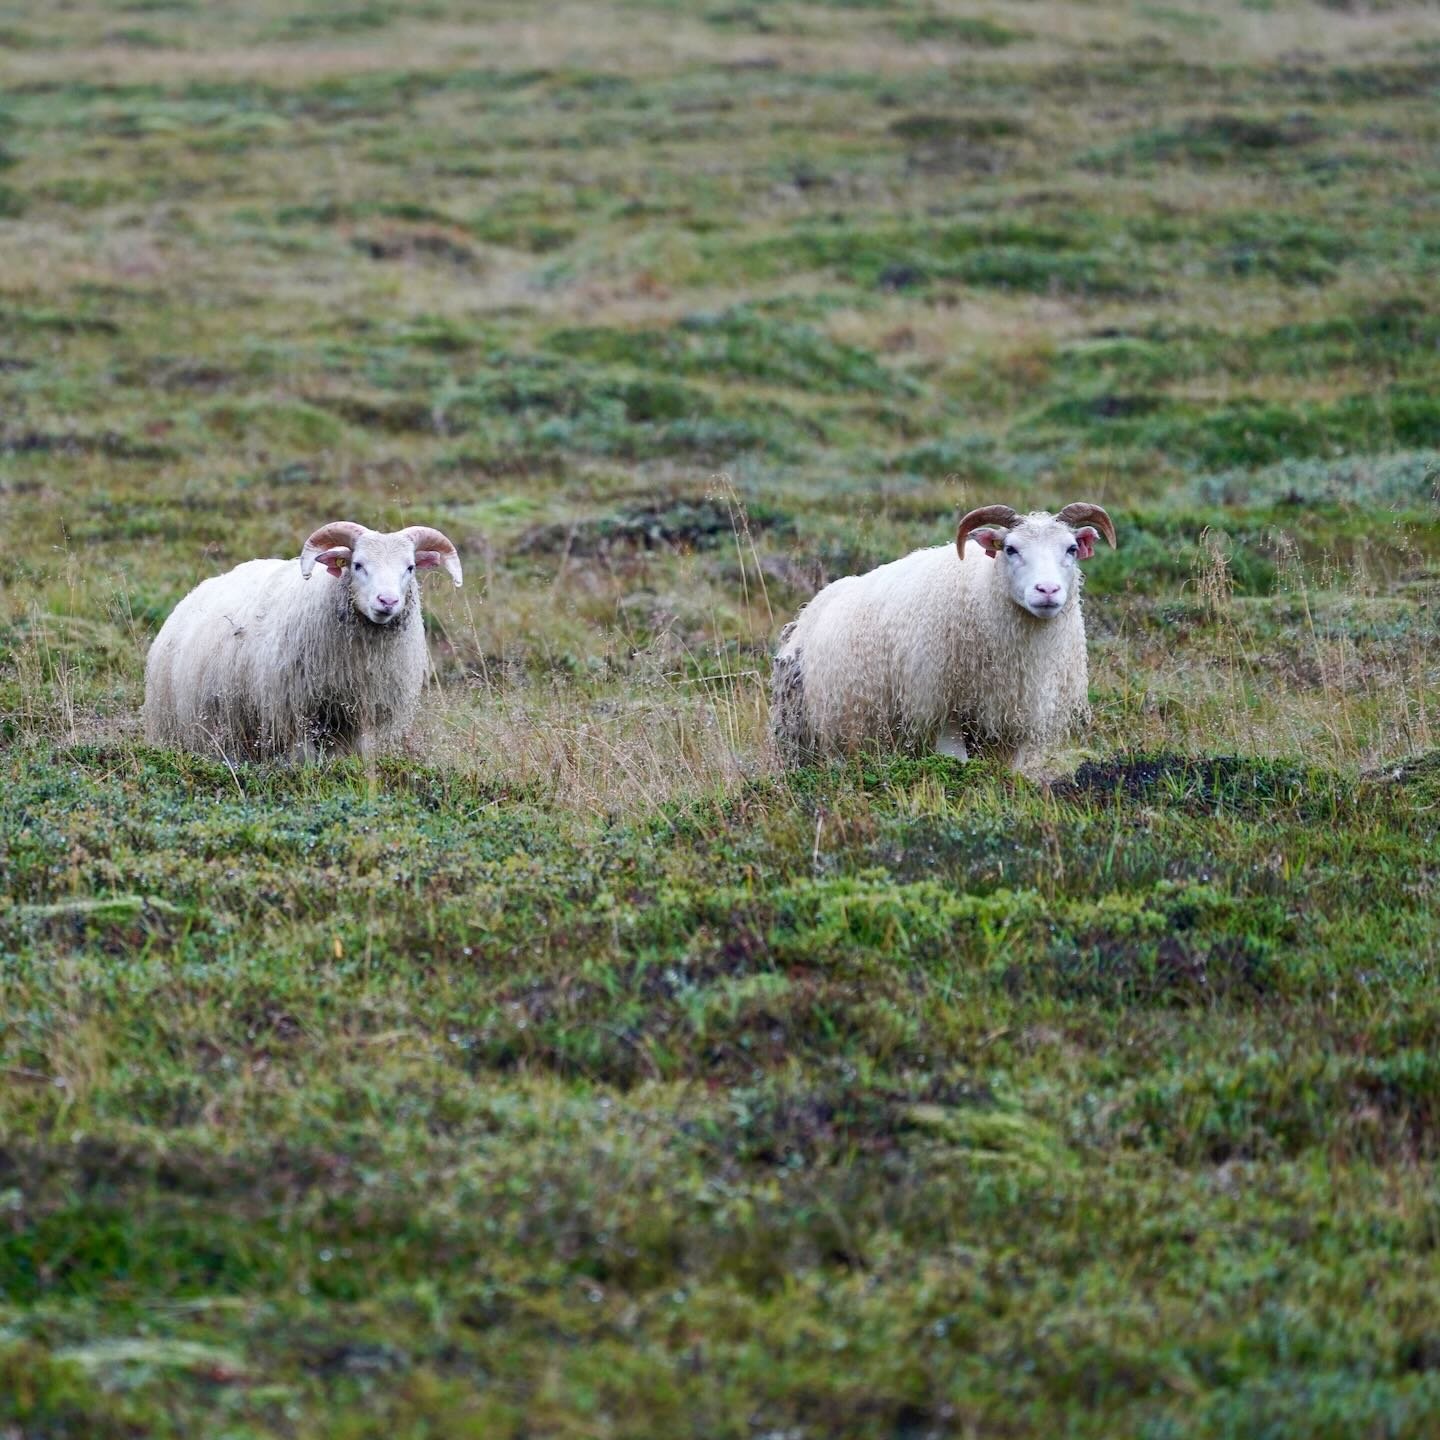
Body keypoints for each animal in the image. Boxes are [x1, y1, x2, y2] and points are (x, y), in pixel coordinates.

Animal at [143, 521, 462, 761]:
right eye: (357, 565)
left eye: (410, 568)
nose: (388, 601)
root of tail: (191, 596)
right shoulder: (294, 712)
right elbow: (305, 760)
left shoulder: (359, 716)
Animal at [771, 502, 1117, 772]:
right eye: (1010, 549)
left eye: (1071, 549)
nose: (1047, 590)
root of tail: (808, 610)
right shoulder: (941, 706)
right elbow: (956, 765)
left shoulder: (1013, 716)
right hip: (803, 730)